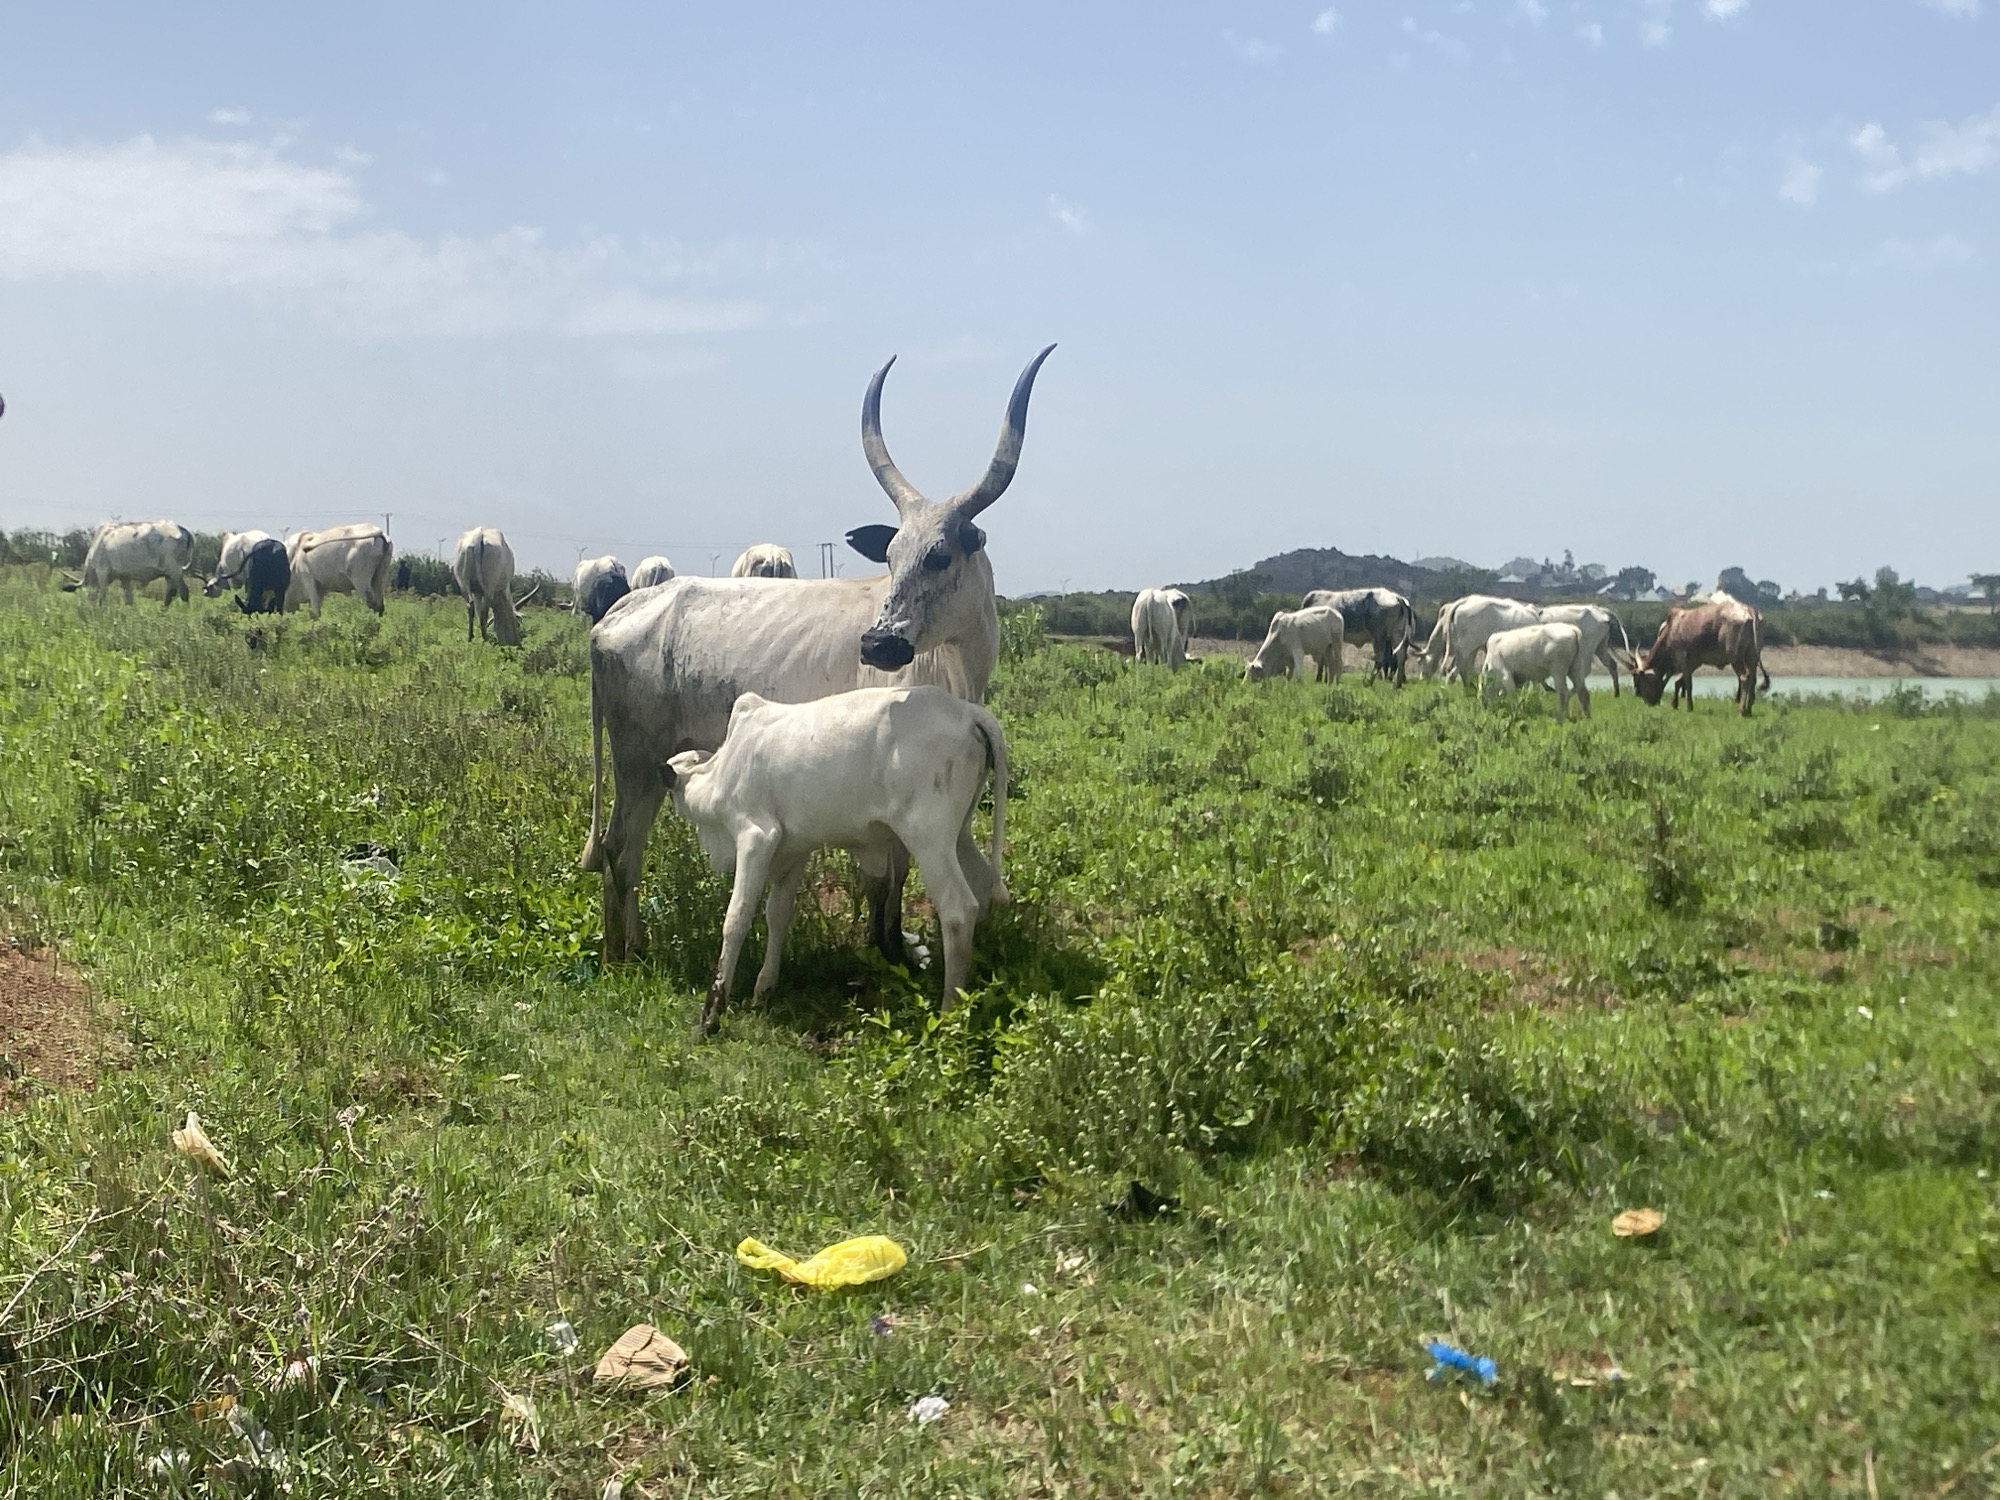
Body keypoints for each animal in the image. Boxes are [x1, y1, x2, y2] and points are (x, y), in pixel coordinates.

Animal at [61, 520, 195, 607]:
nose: (88, 603)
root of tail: (183, 530)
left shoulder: (102, 572)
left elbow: (102, 596)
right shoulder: (125, 577)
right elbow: (129, 599)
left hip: (174, 570)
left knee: (183, 592)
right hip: (169, 574)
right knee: (170, 594)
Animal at [581, 345, 1055, 967]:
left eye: (940, 555)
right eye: (892, 554)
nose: (877, 643)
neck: (957, 666)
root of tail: (617, 612)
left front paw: (891, 943)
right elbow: (888, 874)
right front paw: (887, 949)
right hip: (635, 756)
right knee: (619, 848)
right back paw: (624, 955)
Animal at [665, 686, 1009, 1035]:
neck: (720, 772)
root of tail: (968, 713)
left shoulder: (756, 838)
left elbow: (736, 919)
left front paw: (711, 1015)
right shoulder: (793, 850)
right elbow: (777, 914)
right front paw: (764, 988)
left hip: (929, 839)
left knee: (958, 910)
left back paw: (950, 1012)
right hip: (959, 835)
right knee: (981, 887)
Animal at [1632, 595, 1770, 716]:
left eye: (1640, 681)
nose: (1648, 702)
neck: (1671, 628)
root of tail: (1749, 609)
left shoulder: (1683, 659)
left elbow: (1688, 683)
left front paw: (1689, 707)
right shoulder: (1694, 662)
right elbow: (1680, 681)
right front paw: (1675, 703)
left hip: (1736, 658)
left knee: (1745, 677)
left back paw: (1742, 711)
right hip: (1752, 656)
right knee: (1753, 678)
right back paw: (1749, 709)